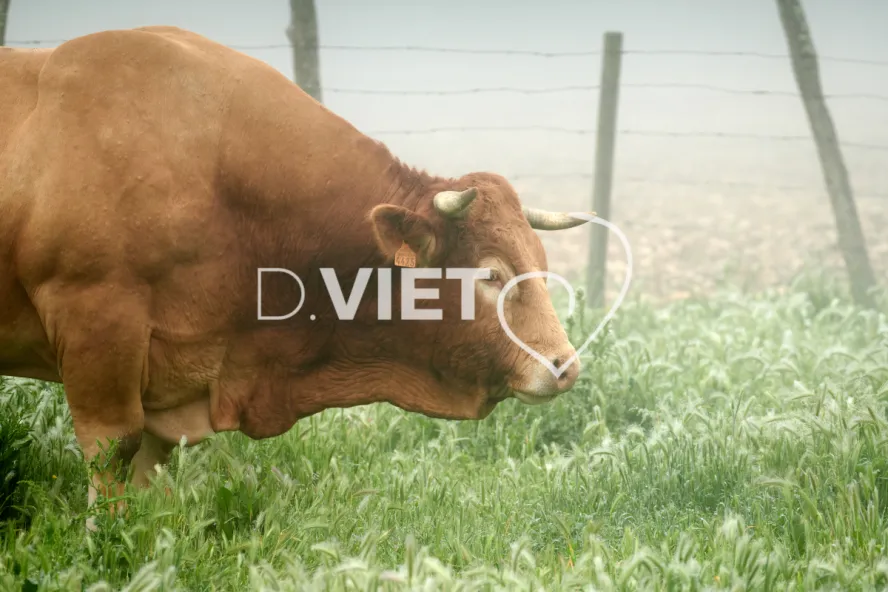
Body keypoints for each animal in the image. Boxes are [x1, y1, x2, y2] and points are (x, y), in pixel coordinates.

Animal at [0, 26, 590, 523]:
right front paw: (102, 540)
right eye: (490, 274)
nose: (565, 367)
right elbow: (112, 452)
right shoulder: (97, 323)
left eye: (542, 265)